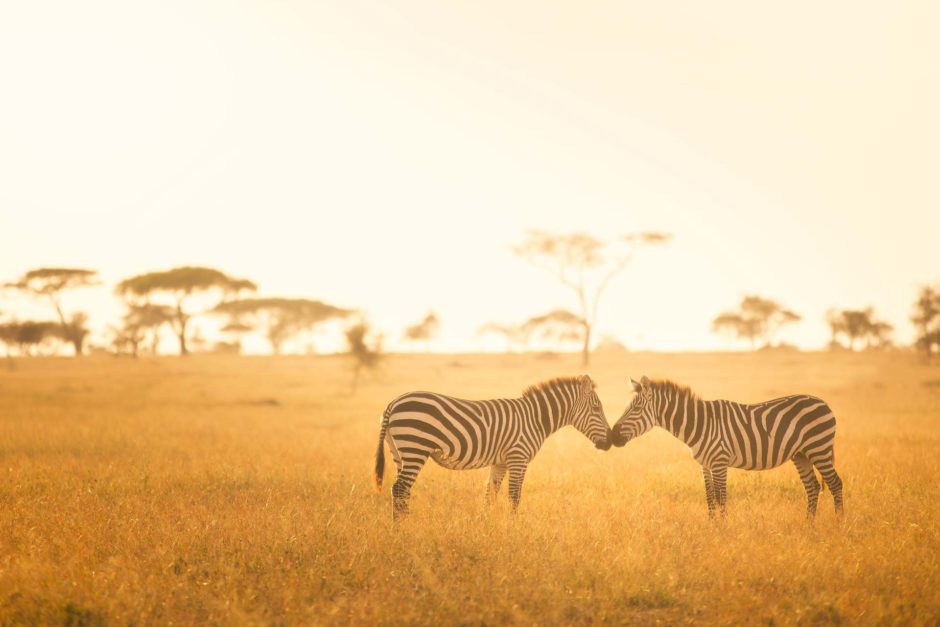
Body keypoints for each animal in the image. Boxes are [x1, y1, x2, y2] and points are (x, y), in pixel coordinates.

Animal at [370, 376, 612, 516]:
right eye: (597, 408)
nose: (610, 441)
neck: (535, 418)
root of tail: (393, 403)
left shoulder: (500, 462)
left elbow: (490, 495)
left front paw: (487, 528)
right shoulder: (518, 458)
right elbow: (514, 496)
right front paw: (513, 529)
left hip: (399, 452)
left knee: (401, 491)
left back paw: (402, 527)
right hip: (415, 448)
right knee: (400, 488)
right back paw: (402, 530)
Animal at [608, 376, 844, 516]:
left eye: (636, 409)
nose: (612, 436)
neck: (700, 424)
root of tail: (824, 403)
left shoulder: (720, 461)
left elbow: (721, 497)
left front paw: (723, 531)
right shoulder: (705, 464)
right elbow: (709, 497)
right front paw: (712, 528)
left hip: (819, 448)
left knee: (835, 484)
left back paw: (838, 525)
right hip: (801, 454)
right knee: (812, 487)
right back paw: (809, 527)